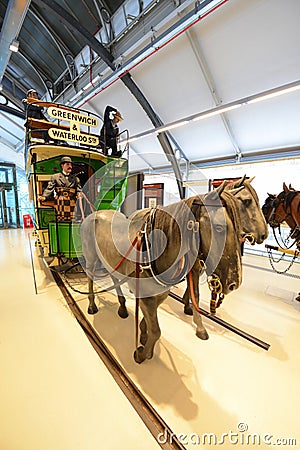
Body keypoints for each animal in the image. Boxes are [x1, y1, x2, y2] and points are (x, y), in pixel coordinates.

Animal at [81, 185, 243, 364]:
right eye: (219, 228)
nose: (234, 283)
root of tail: (94, 214)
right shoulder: (146, 297)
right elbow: (156, 330)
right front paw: (141, 354)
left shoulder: (159, 294)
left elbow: (149, 323)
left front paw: (144, 337)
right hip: (91, 258)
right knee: (90, 278)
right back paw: (92, 306)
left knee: (114, 277)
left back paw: (122, 307)